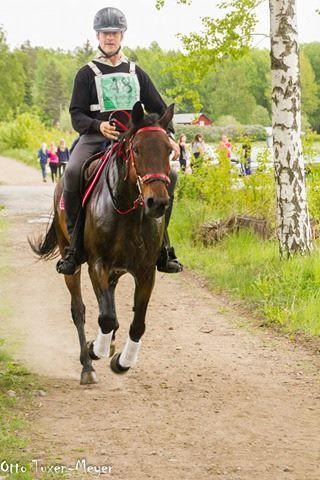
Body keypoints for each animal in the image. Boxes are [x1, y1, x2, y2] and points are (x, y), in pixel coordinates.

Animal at [29, 103, 174, 384]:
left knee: (110, 302)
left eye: (169, 149)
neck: (128, 210)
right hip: (72, 261)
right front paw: (95, 350)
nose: (158, 203)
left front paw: (122, 361)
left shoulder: (145, 271)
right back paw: (87, 365)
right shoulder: (98, 264)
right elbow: (105, 318)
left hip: (117, 271)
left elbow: (137, 323)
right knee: (79, 310)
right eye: (137, 149)